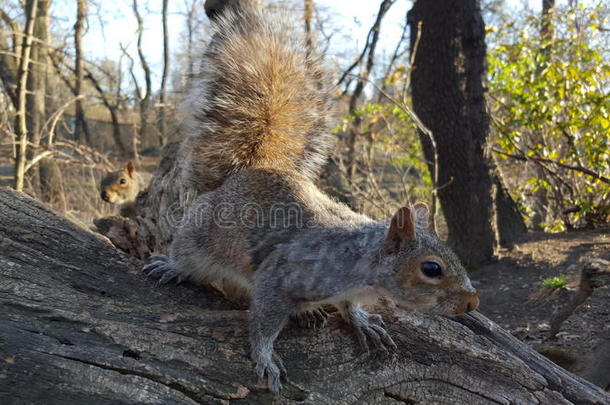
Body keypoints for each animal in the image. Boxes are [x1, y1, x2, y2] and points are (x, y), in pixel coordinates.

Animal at [140, 0, 478, 392]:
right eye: (431, 269)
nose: (472, 303)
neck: (359, 263)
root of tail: (244, 173)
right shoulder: (282, 274)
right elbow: (263, 321)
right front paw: (265, 356)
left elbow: (348, 307)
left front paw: (360, 320)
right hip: (199, 234)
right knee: (191, 259)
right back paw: (173, 266)